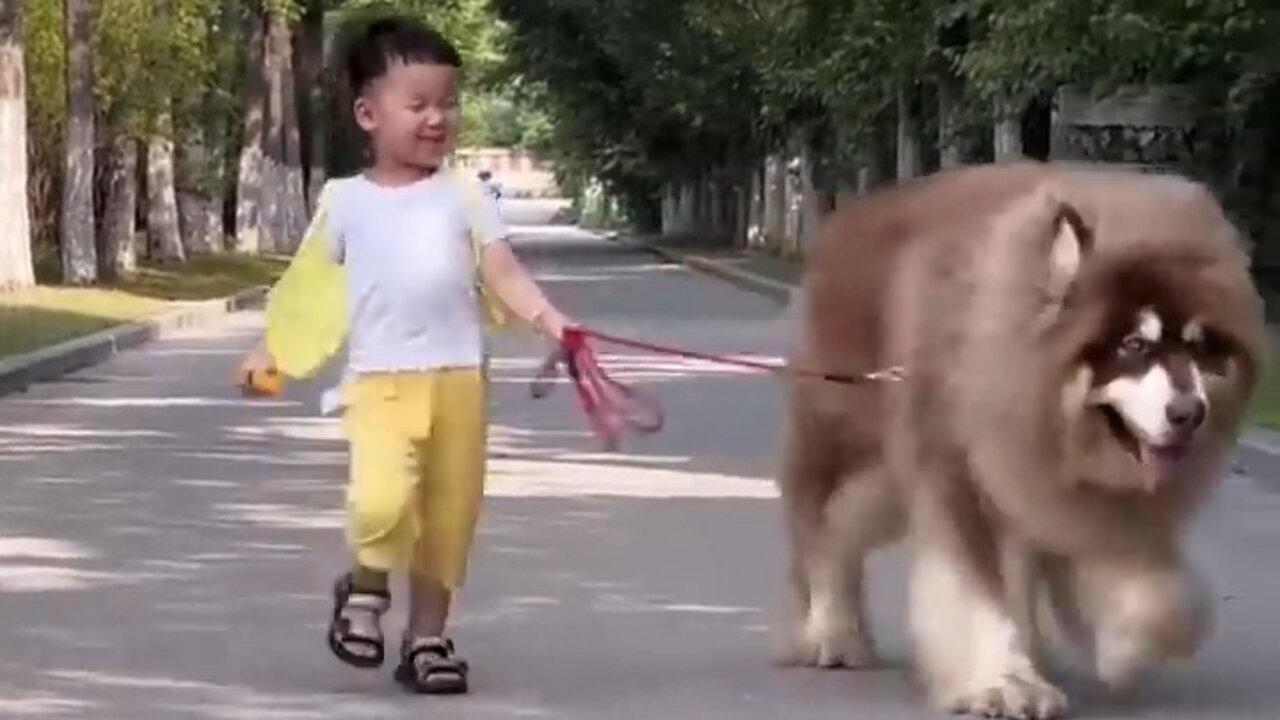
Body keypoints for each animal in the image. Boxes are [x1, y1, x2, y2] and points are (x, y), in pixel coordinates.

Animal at [773, 159, 1264, 712]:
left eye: (1200, 348)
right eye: (1134, 344)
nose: (1189, 413)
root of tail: (844, 221)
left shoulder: (1057, 491)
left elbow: (1162, 593)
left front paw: (1123, 645)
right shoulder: (961, 475)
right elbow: (977, 593)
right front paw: (1003, 680)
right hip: (853, 445)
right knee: (824, 524)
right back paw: (829, 631)